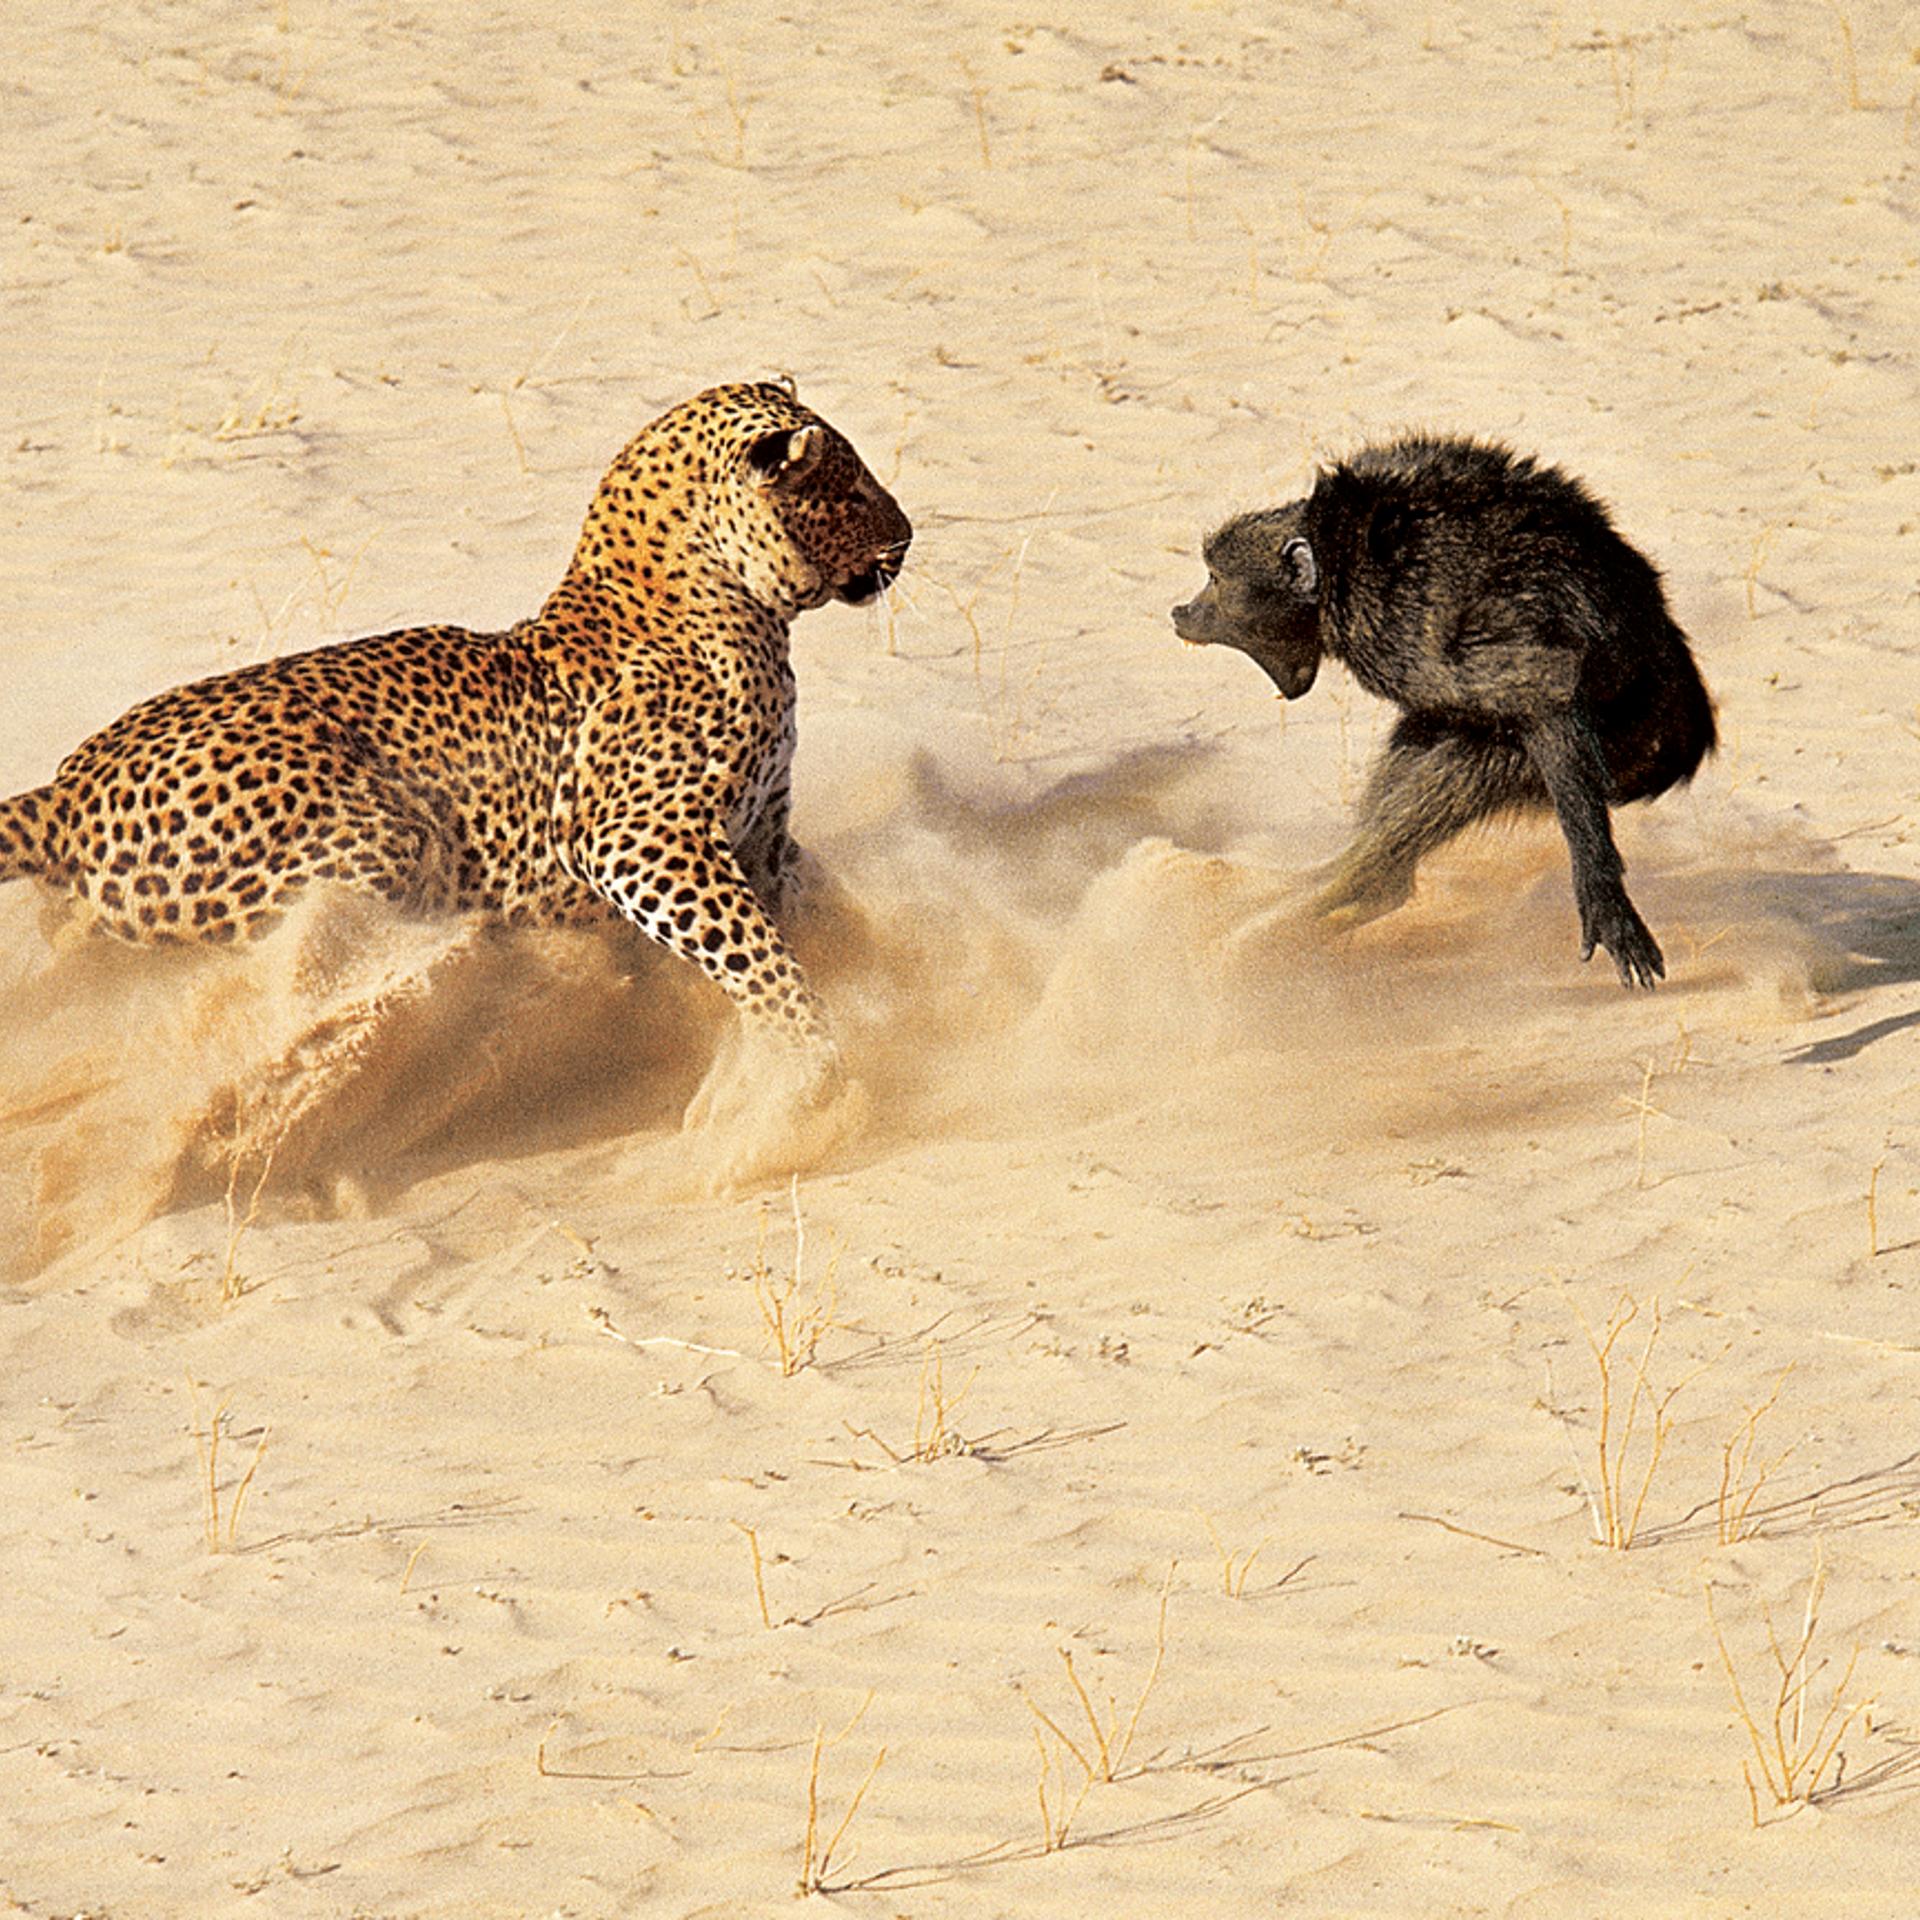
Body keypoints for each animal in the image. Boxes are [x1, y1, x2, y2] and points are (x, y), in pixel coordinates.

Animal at [0, 380, 912, 1096]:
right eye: (850, 490)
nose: (906, 536)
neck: (741, 611)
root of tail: (64, 791)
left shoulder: (761, 832)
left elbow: (803, 916)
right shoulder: (633, 838)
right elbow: (757, 955)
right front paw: (812, 1064)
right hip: (383, 840)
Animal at [1171, 434, 1716, 989]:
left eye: (1215, 579)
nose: (1181, 613)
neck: (1339, 554)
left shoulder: (1405, 615)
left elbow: (1548, 692)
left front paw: (1604, 899)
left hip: (1627, 748)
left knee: (1475, 762)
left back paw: (1311, 917)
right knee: (1428, 735)